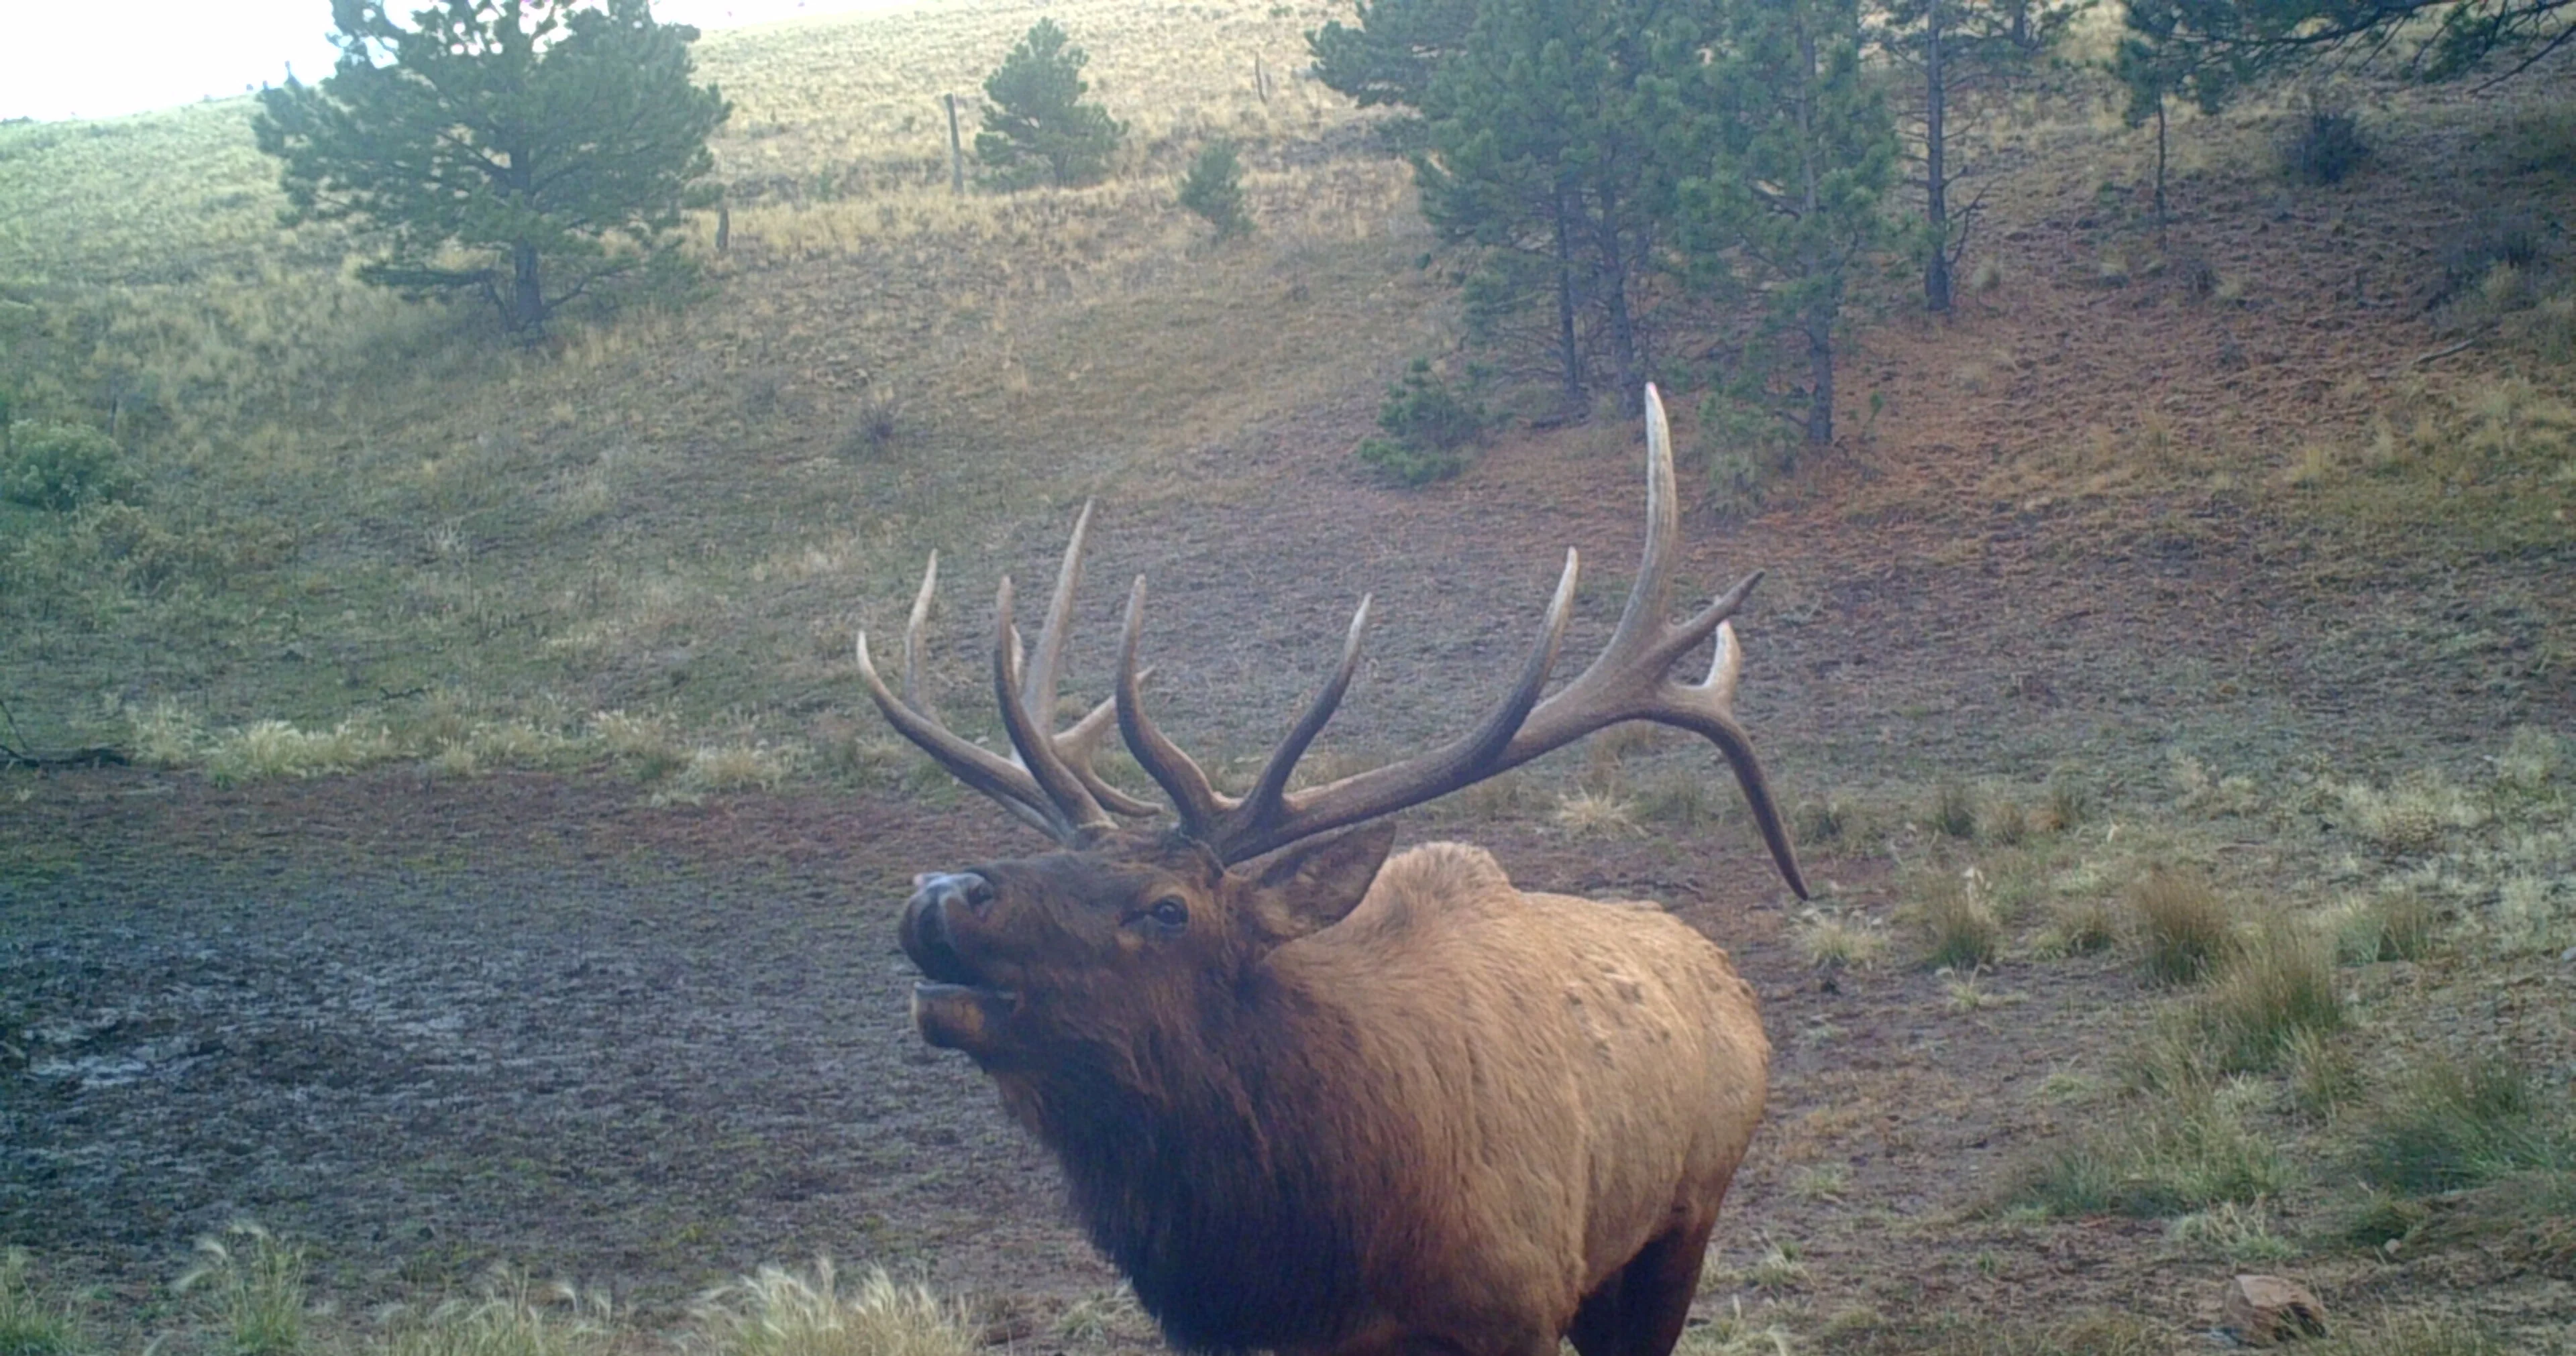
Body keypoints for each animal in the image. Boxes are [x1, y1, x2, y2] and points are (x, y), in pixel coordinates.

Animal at [855, 380, 1803, 1356]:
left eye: (1168, 908)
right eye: (1055, 852)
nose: (943, 893)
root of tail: (1725, 973)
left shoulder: (1521, 1303)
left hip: (1680, 1224)